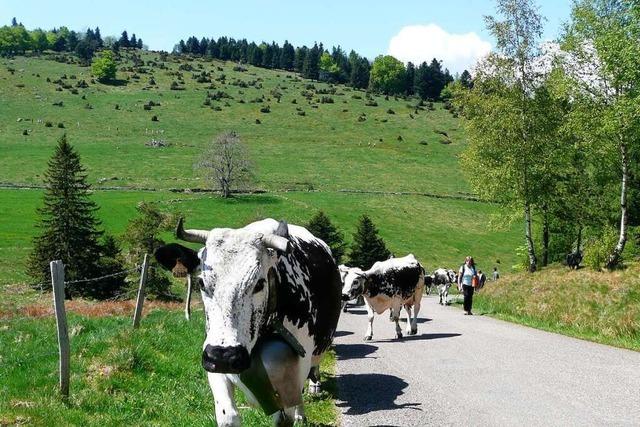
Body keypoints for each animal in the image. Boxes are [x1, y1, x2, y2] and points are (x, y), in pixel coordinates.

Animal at [153, 219, 342, 426]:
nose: (224, 357)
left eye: (259, 283)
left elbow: (284, 415)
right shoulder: (212, 359)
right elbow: (228, 416)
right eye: (202, 283)